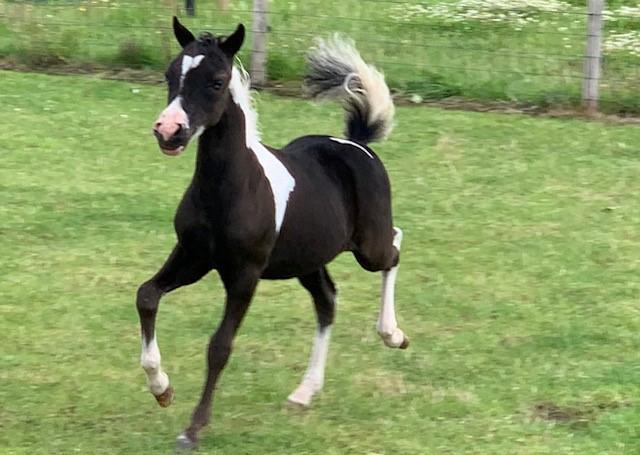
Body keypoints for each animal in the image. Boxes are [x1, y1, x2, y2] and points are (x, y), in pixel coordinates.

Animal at [137, 16, 409, 449]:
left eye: (216, 81)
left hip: (369, 246)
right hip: (307, 261)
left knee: (395, 245)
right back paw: (303, 393)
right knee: (327, 302)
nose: (169, 130)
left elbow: (220, 345)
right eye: (170, 74)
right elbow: (146, 295)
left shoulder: (244, 274)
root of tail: (355, 143)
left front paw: (193, 429)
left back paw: (393, 335)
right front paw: (162, 389)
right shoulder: (193, 257)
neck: (231, 187)